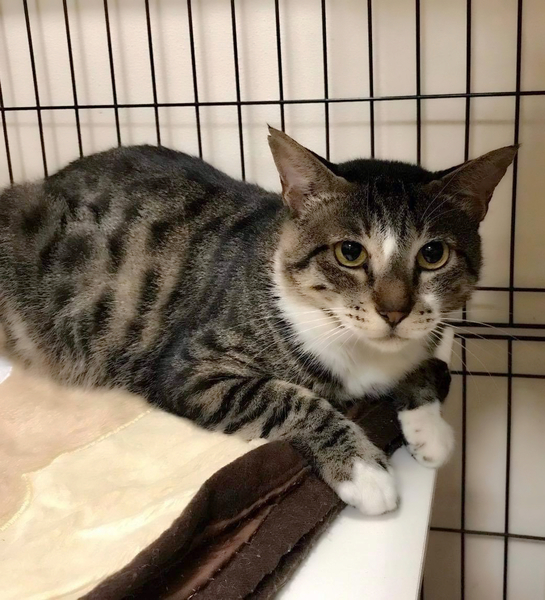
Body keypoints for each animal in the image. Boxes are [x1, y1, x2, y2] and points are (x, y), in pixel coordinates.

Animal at [0, 127, 516, 514]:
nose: (394, 311)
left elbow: (421, 364)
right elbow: (289, 398)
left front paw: (429, 429)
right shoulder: (191, 367)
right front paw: (364, 471)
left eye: (433, 254)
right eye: (350, 252)